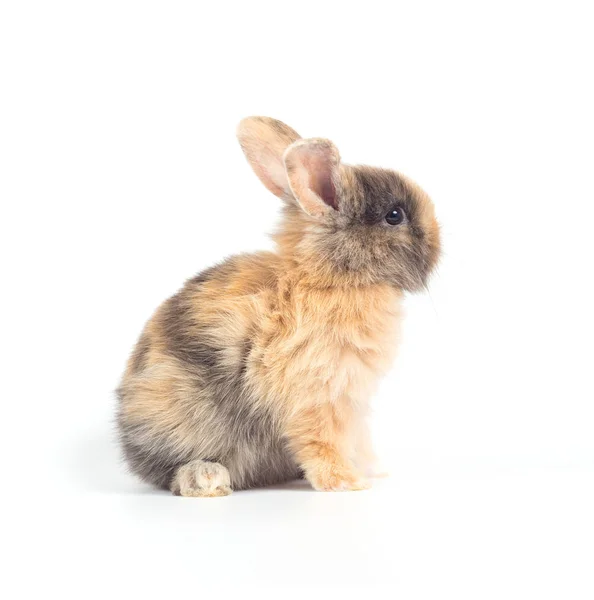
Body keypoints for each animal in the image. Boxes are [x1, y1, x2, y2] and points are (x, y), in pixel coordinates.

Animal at [117, 117, 440, 496]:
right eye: (394, 215)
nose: (437, 240)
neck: (334, 277)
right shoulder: (317, 393)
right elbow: (321, 440)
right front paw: (347, 482)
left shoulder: (350, 401)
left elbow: (356, 438)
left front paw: (372, 471)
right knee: (171, 472)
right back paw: (207, 478)